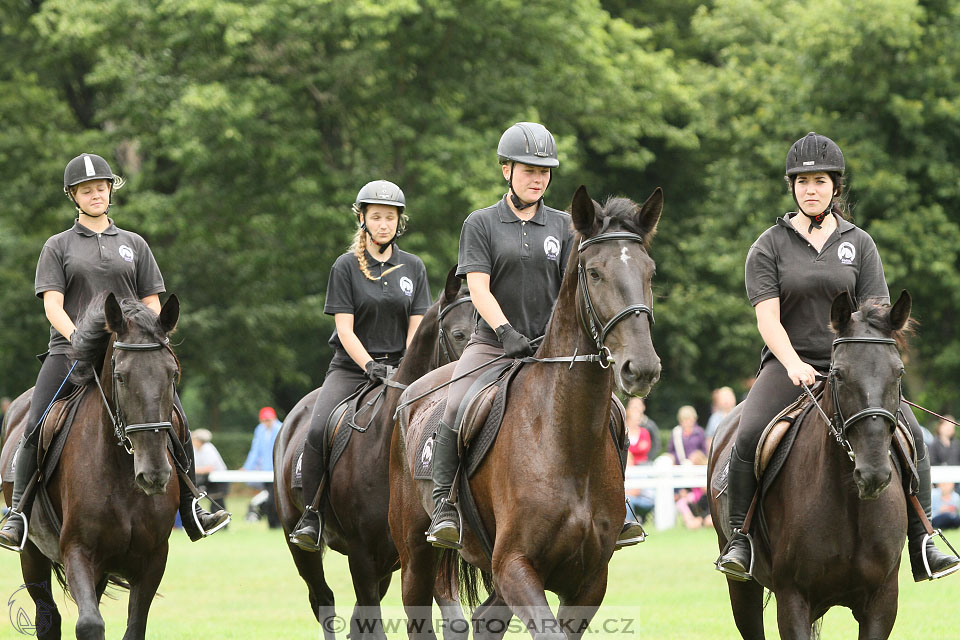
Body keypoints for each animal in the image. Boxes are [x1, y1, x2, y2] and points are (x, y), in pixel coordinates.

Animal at [1, 296, 184, 640]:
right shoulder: (78, 551)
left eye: (172, 374)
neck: (122, 474)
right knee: (48, 618)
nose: (154, 474)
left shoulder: (153, 559)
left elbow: (134, 628)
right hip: (33, 554)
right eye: (121, 376)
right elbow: (89, 624)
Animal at [386, 186, 664, 640]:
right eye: (594, 273)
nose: (640, 368)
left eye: (649, 272)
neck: (562, 440)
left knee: (484, 621)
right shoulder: (515, 567)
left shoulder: (588, 582)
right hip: (415, 556)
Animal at [712, 292, 916, 636]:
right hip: (742, 587)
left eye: (899, 372)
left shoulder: (882, 601)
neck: (850, 503)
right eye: (839, 374)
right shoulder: (793, 598)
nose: (873, 473)